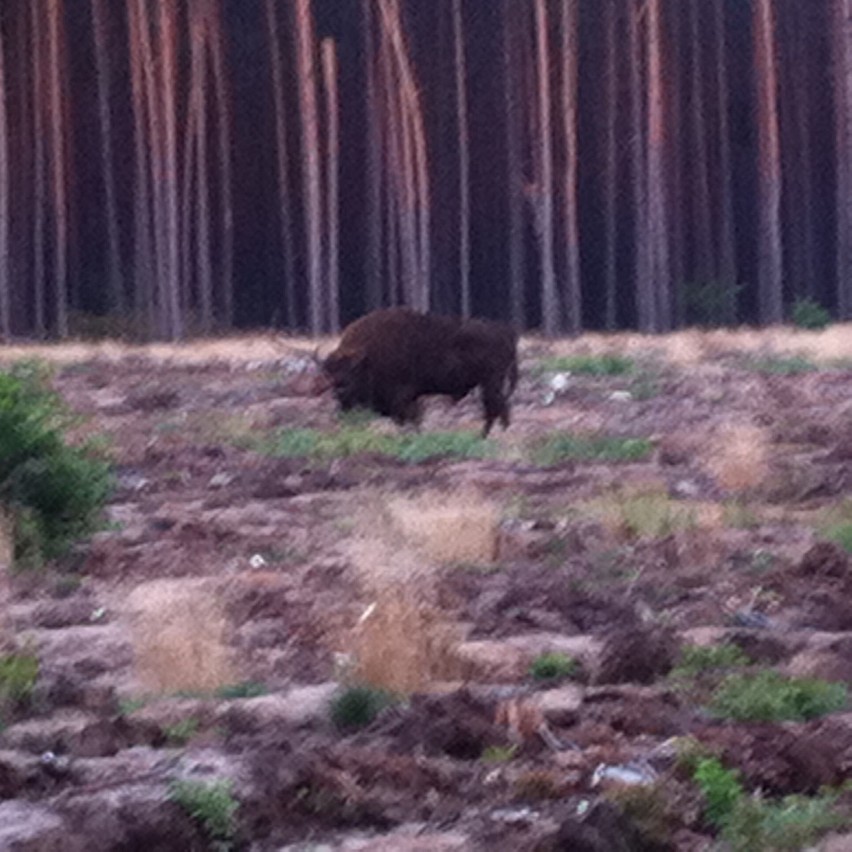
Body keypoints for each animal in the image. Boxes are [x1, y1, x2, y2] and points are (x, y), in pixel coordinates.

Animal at [322, 306, 516, 436]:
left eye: (353, 370)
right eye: (330, 372)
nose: (341, 390)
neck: (368, 355)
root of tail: (505, 332)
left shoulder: (401, 395)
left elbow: (407, 417)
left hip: (491, 382)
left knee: (495, 408)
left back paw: (484, 436)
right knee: (499, 407)